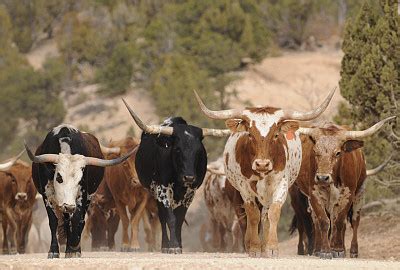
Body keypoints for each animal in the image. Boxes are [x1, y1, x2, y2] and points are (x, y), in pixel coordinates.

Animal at [296, 117, 396, 258]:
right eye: (315, 152)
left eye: (338, 153)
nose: (322, 178)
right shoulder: (314, 194)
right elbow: (323, 221)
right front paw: (325, 251)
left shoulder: (348, 195)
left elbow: (339, 222)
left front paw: (338, 250)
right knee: (322, 221)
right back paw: (318, 249)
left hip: (359, 193)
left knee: (354, 221)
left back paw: (353, 250)